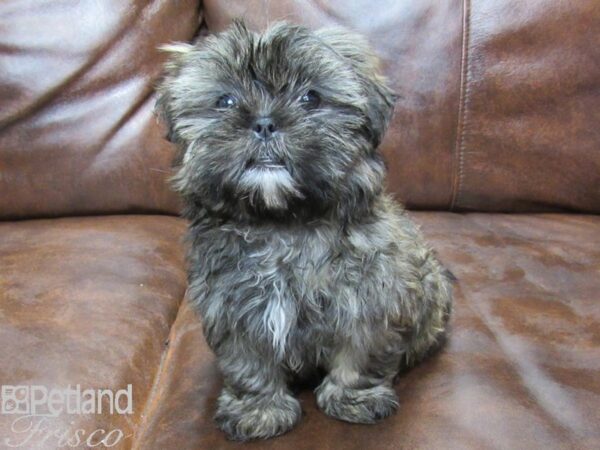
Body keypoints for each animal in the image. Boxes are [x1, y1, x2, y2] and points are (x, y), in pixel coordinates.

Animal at [157, 20, 452, 440]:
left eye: (310, 97)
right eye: (225, 101)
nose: (264, 122)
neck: (282, 224)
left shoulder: (370, 299)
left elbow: (360, 355)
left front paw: (354, 399)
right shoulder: (234, 309)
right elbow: (249, 364)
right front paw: (258, 409)